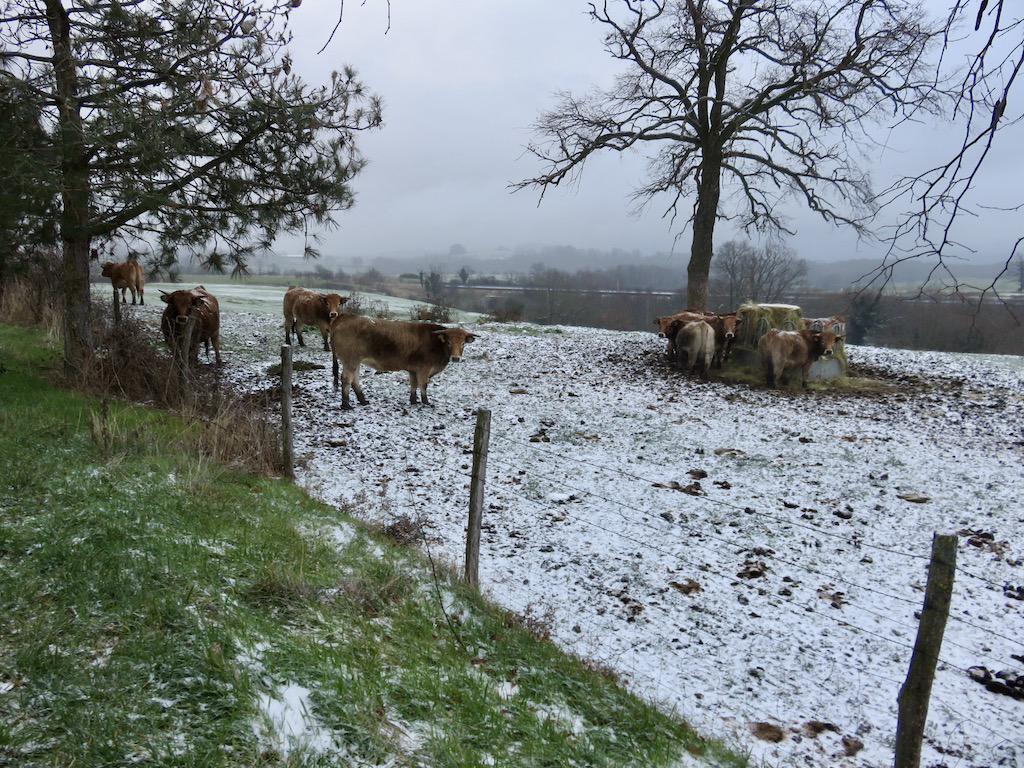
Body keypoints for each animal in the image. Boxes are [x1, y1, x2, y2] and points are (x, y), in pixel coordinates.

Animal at [329, 313, 477, 411]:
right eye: (448, 342)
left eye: (463, 343)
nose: (456, 358)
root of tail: (346, 316)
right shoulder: (424, 369)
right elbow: (423, 385)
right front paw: (426, 402)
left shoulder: (413, 369)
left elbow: (413, 384)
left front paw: (413, 400)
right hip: (351, 360)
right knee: (346, 379)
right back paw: (346, 404)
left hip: (355, 361)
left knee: (355, 380)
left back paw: (363, 401)